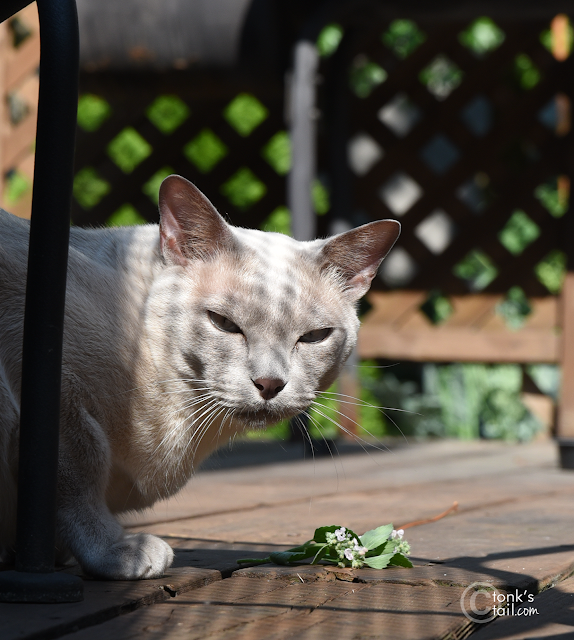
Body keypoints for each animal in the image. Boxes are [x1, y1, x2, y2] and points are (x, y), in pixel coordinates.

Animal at [0, 175, 400, 580]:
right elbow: (80, 472)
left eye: (314, 337)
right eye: (223, 323)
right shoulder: (57, 387)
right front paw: (118, 552)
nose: (269, 384)